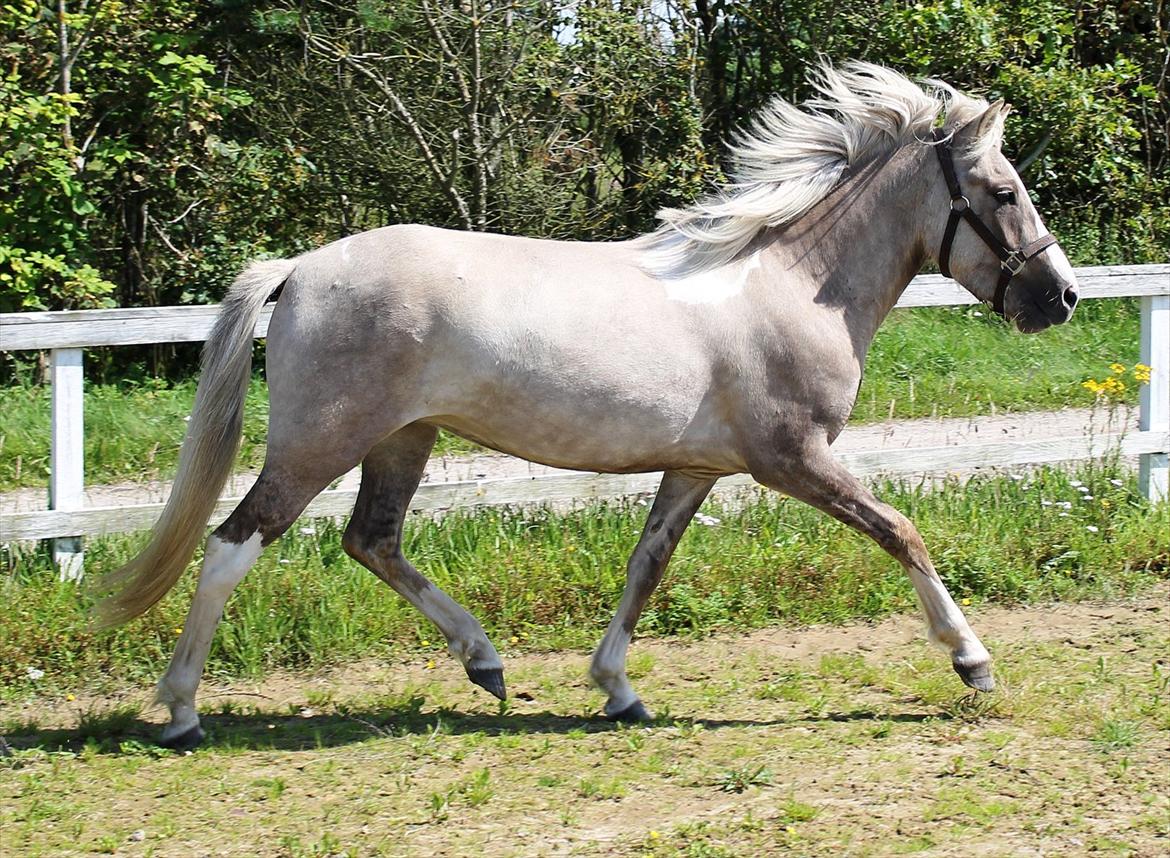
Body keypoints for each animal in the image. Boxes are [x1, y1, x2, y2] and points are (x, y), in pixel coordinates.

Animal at [95, 62, 1081, 749]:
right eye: (1004, 192)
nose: (1061, 298)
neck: (792, 284)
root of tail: (299, 268)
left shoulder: (696, 468)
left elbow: (647, 567)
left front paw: (617, 689)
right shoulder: (794, 458)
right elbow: (902, 532)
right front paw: (972, 661)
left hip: (403, 440)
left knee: (371, 541)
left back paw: (486, 665)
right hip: (318, 446)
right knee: (233, 546)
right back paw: (180, 711)